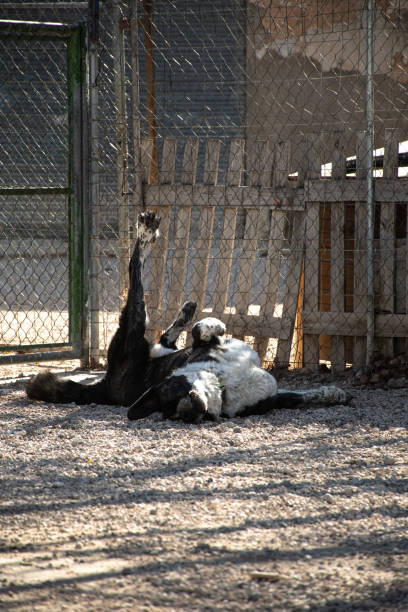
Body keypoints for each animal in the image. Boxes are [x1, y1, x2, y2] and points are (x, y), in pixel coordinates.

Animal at [27, 209, 350, 420]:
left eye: (172, 391)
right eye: (170, 406)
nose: (189, 410)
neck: (222, 382)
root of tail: (105, 386)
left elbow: (306, 396)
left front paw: (334, 393)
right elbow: (202, 330)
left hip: (152, 346)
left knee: (165, 338)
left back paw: (187, 308)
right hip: (132, 329)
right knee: (135, 272)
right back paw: (146, 235)